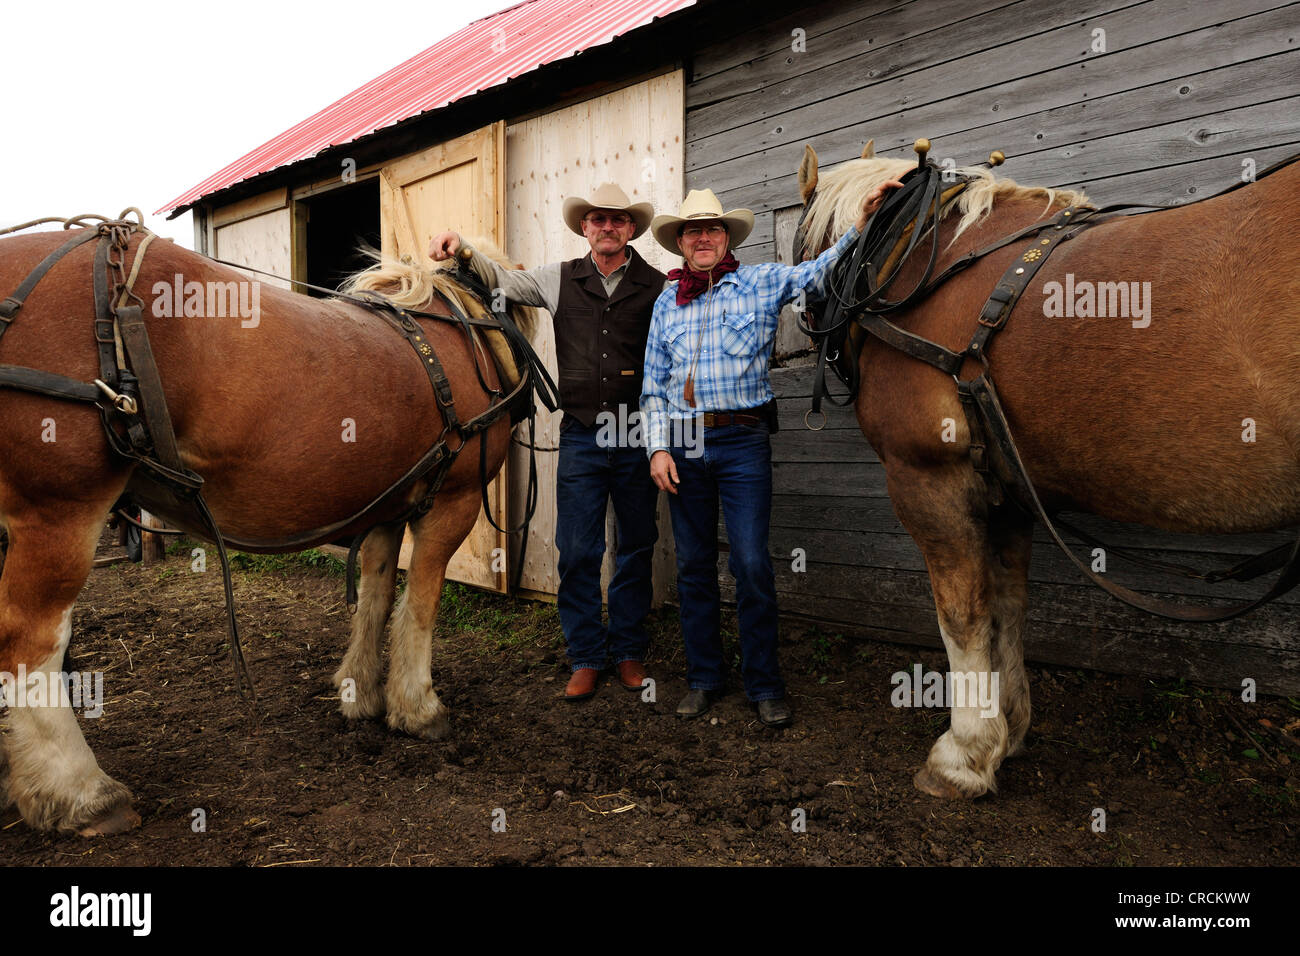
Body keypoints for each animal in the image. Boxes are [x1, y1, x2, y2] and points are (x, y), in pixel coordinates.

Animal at [0, 219, 537, 834]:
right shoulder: (452, 502)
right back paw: (80, 790)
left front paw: (360, 693)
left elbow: (376, 597)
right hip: (60, 510)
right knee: (31, 641)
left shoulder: (387, 504)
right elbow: (421, 606)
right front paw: (417, 707)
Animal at [795, 140, 1300, 799]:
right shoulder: (1008, 491)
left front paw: (963, 753)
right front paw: (1008, 732)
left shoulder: (927, 478)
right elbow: (1008, 607)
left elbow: (962, 616)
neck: (921, 258)